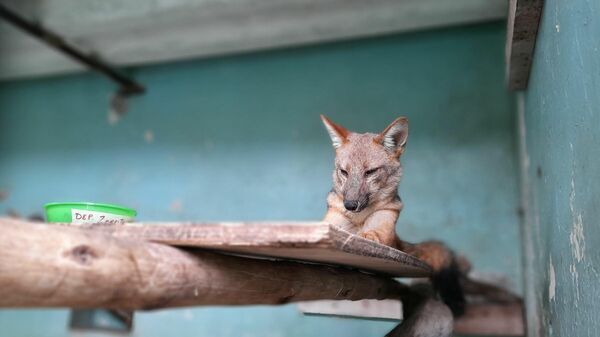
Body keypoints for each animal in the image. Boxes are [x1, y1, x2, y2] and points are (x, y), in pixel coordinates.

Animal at [322, 114, 466, 314]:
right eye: (344, 172)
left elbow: (369, 235)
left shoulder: (383, 231)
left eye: (370, 172)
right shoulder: (331, 224)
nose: (349, 205)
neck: (359, 218)